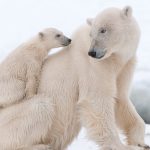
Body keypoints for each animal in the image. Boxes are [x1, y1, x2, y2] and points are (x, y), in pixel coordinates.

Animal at [0, 5, 149, 150]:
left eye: (103, 30)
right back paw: (39, 146)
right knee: (41, 105)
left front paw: (140, 142)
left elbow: (120, 99)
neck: (115, 59)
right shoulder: (92, 66)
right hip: (11, 119)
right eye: (92, 33)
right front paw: (121, 146)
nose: (92, 52)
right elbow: (96, 100)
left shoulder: (124, 67)